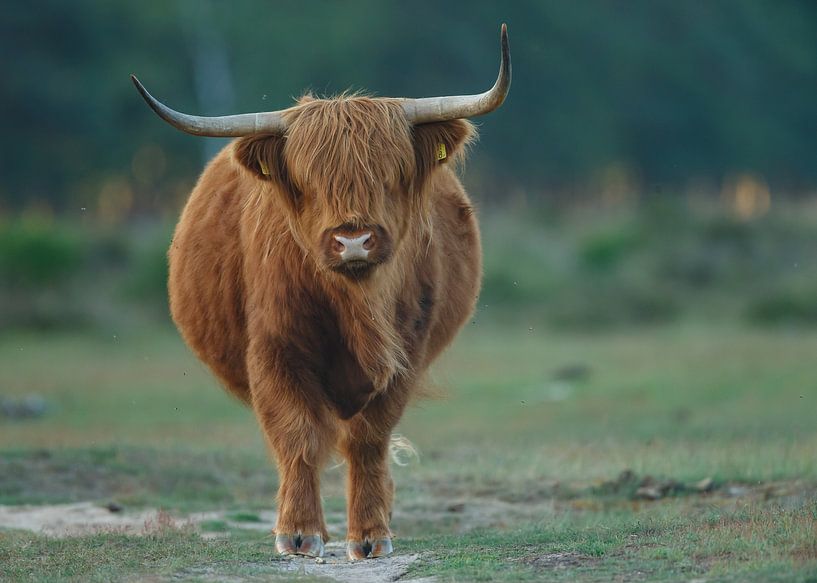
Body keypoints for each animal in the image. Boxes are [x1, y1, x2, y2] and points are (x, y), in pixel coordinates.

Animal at [131, 24, 506, 560]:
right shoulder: (275, 351)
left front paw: (371, 535)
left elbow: (368, 440)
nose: (353, 240)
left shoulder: (405, 357)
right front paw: (298, 533)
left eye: (390, 176)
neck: (356, 304)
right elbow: (298, 435)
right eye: (308, 182)